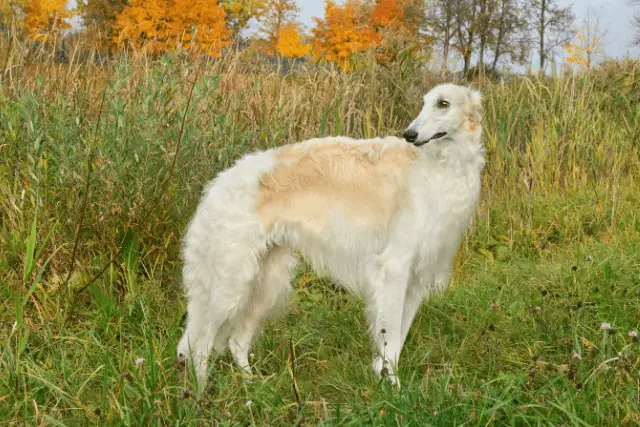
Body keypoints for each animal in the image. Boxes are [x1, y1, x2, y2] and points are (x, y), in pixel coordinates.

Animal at [175, 83, 484, 388]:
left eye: (443, 103)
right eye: (424, 103)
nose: (409, 134)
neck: (439, 165)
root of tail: (219, 184)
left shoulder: (418, 276)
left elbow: (396, 340)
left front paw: (385, 377)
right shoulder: (394, 268)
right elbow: (390, 336)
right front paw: (393, 387)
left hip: (264, 282)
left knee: (236, 341)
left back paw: (252, 385)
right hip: (230, 282)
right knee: (200, 346)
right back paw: (202, 393)